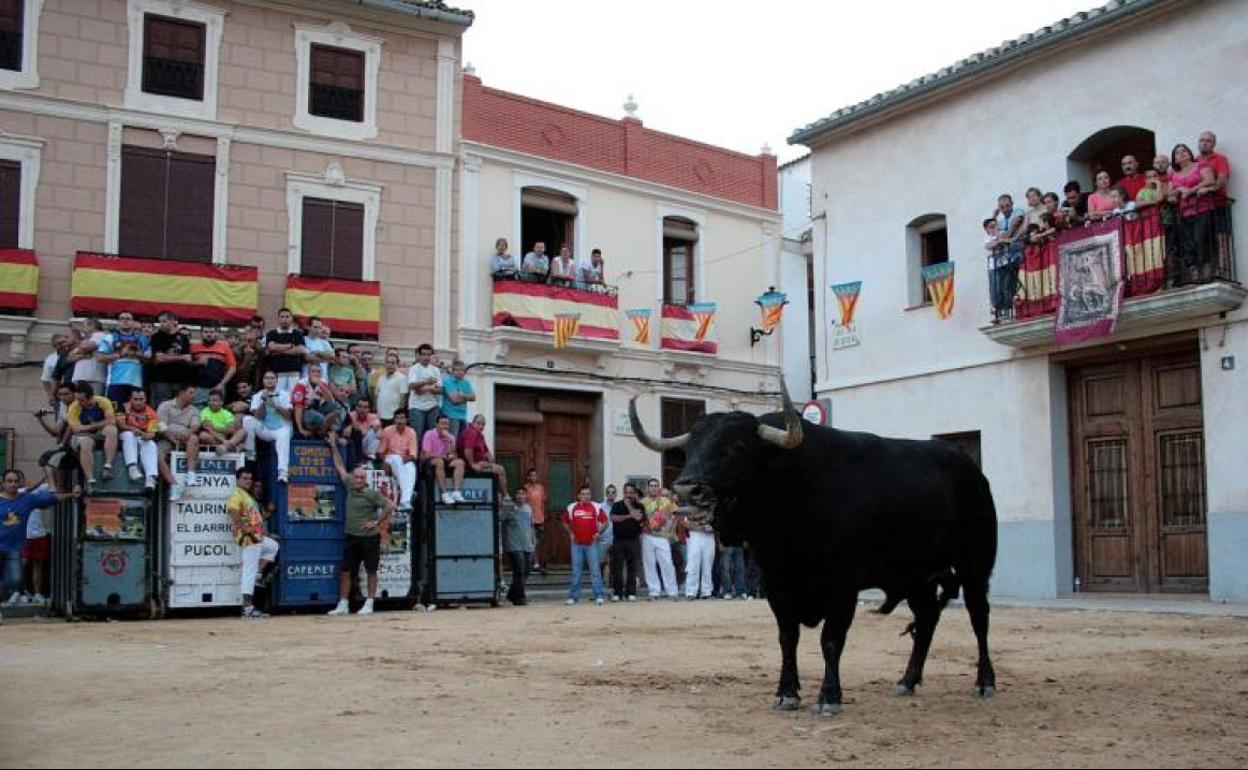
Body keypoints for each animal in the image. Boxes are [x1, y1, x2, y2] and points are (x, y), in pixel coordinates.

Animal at [628, 389, 998, 713]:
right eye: (691, 448)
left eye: (736, 447)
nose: (687, 490)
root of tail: (972, 470)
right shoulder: (776, 586)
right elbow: (787, 638)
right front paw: (786, 694)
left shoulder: (843, 586)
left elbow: (831, 640)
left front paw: (829, 698)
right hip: (917, 576)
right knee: (927, 618)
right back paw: (907, 681)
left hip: (975, 564)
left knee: (979, 616)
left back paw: (984, 682)